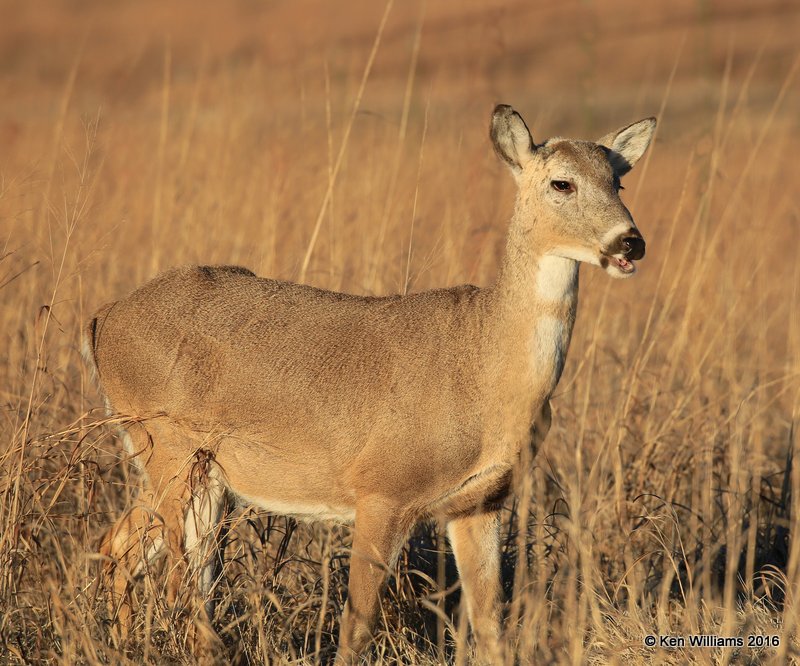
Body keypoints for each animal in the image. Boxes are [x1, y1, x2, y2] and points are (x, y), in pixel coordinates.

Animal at [83, 104, 656, 660]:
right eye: (562, 183)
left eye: (619, 182)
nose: (630, 241)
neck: (486, 371)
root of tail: (103, 319)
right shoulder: (383, 488)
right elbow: (355, 626)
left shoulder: (481, 502)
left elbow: (492, 626)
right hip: (169, 447)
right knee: (178, 578)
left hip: (192, 470)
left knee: (122, 546)